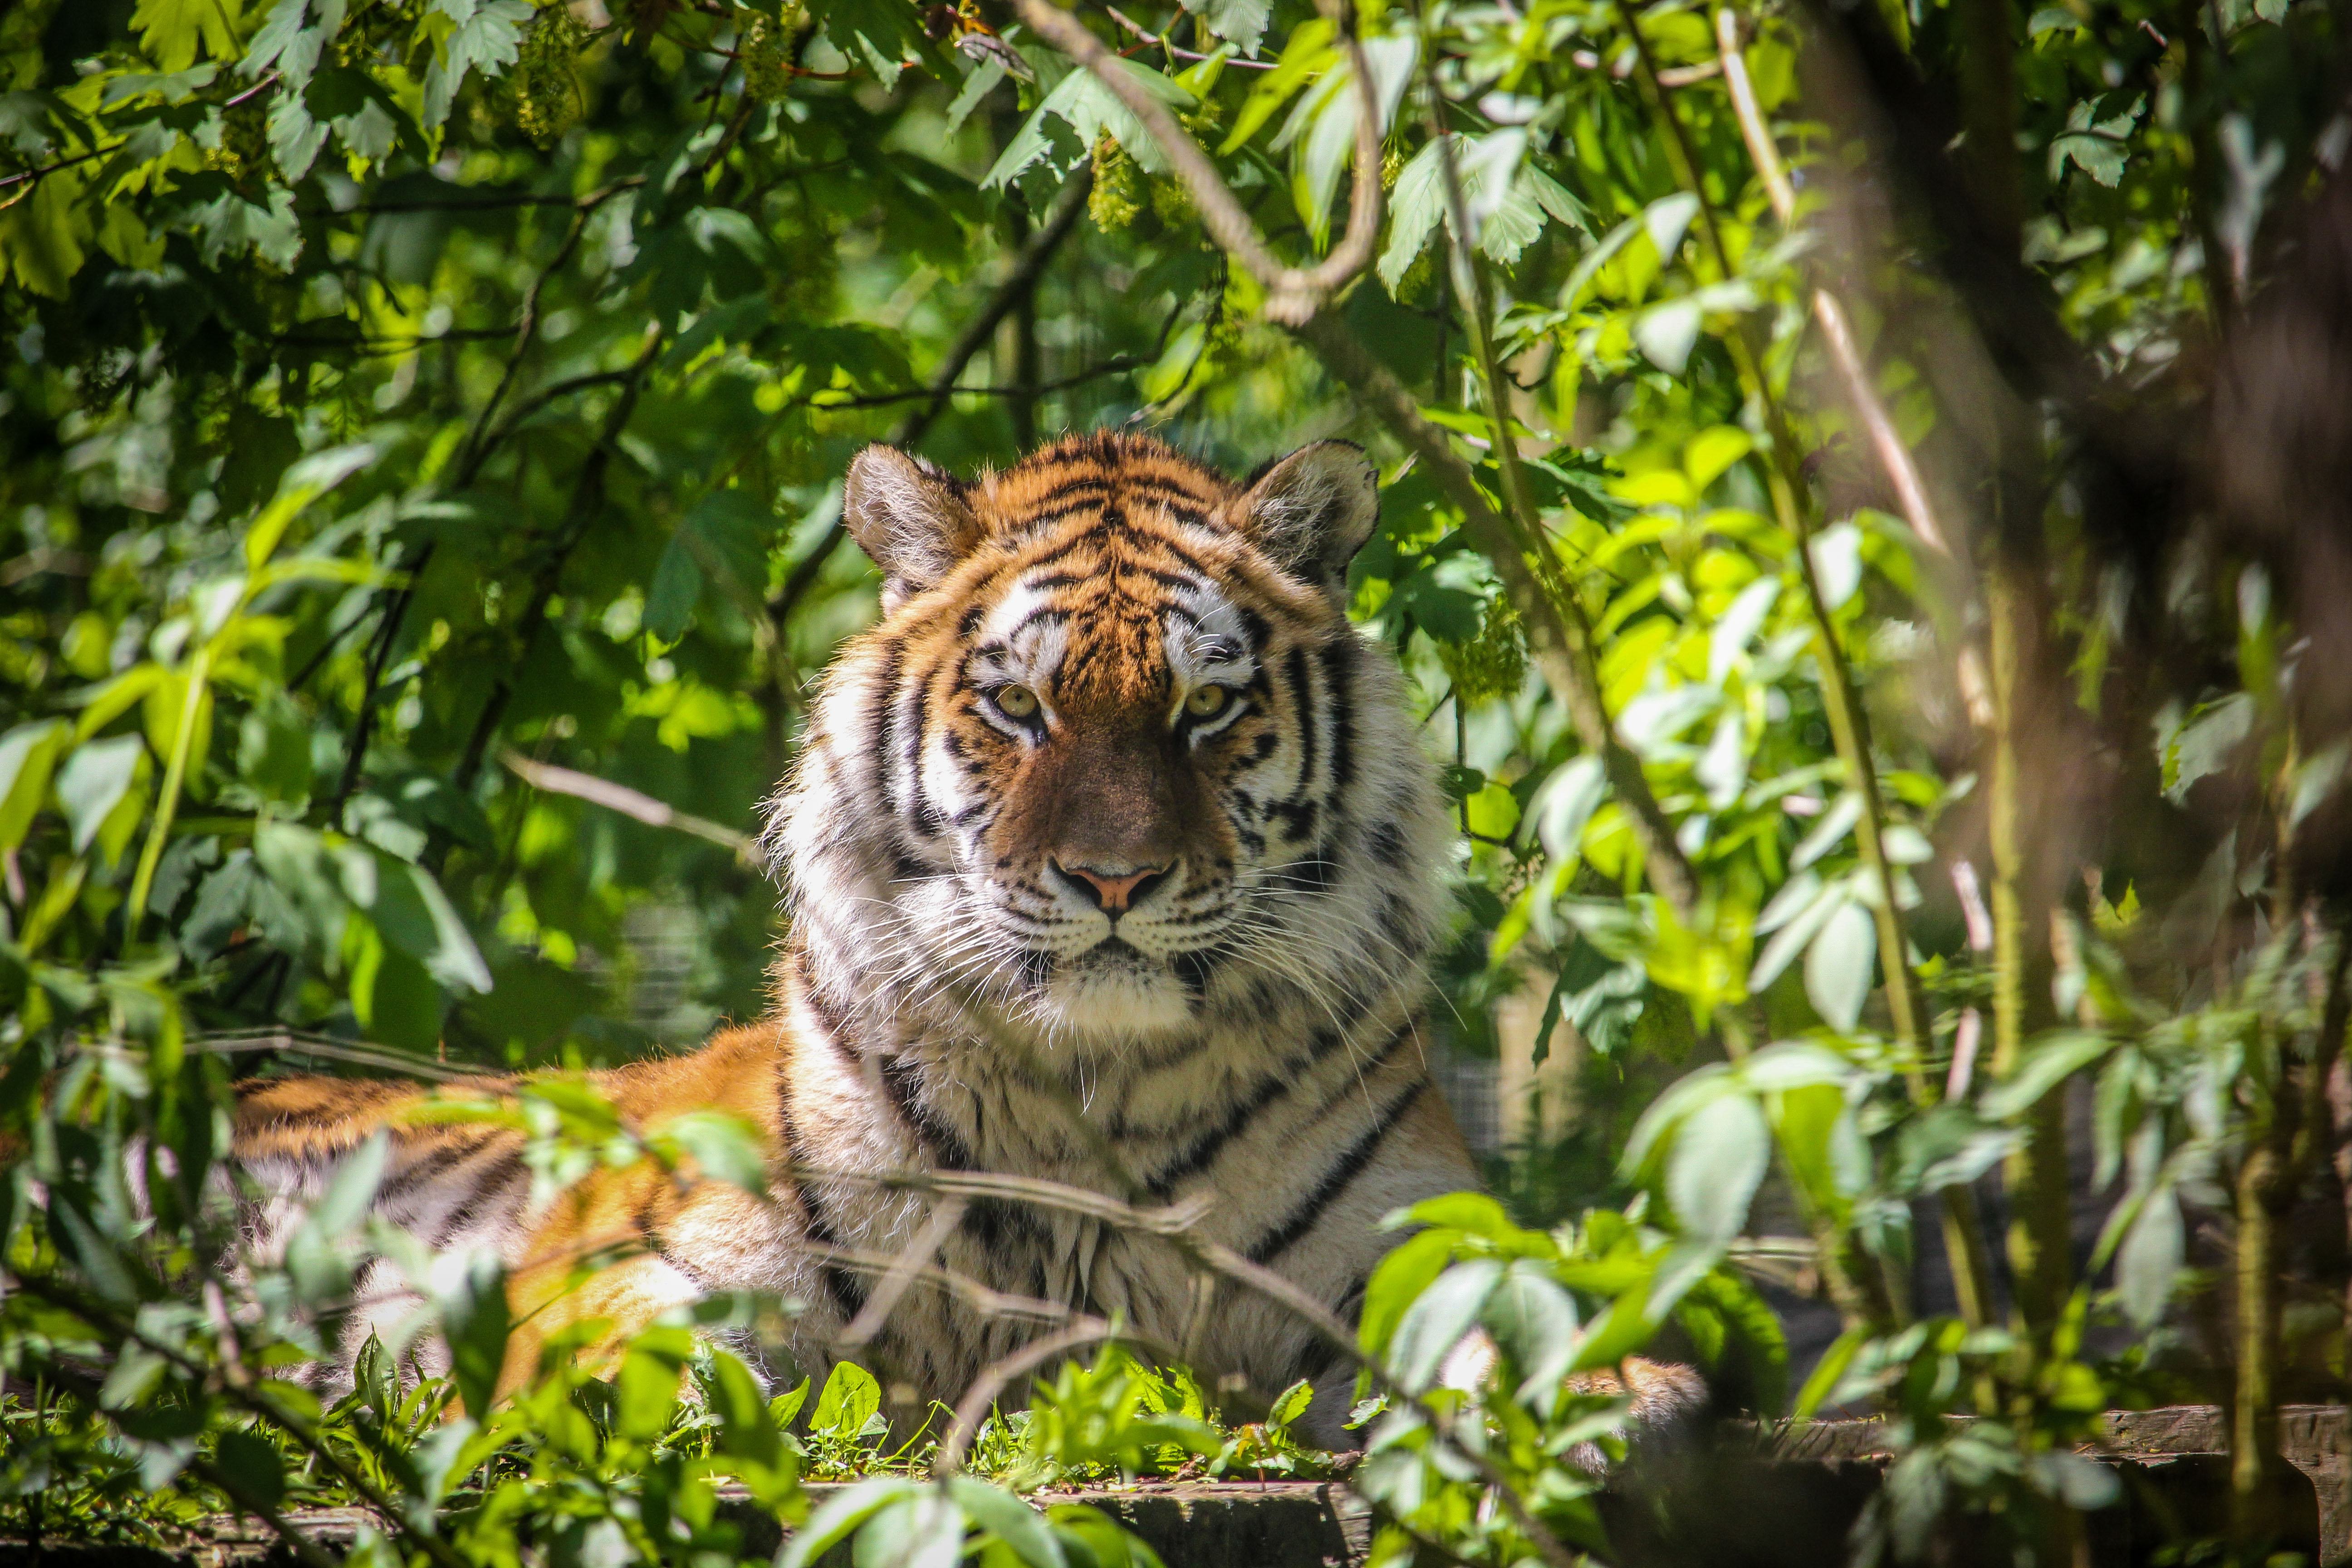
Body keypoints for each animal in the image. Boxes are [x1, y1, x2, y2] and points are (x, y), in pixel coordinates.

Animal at [232, 431, 1700, 1448]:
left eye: (1205, 709)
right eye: (1018, 707)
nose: (1114, 878)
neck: (1100, 1097)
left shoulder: (1385, 1242)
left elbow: (1509, 1304)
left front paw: (1610, 1384)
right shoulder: (658, 1243)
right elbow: (633, 1339)